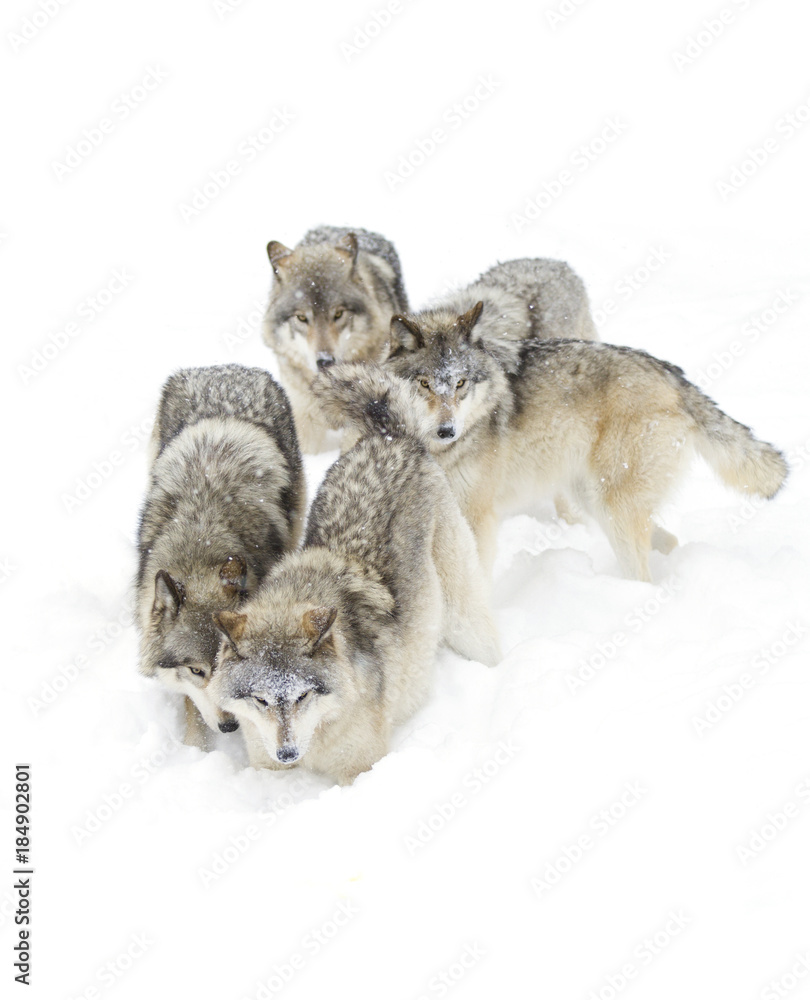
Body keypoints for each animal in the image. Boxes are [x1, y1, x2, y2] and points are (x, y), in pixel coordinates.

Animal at [136, 364, 305, 748]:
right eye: (197, 670)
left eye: (226, 665)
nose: (230, 727)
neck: (200, 547)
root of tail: (225, 369)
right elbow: (192, 708)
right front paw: (196, 748)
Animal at [208, 366, 500, 785]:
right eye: (261, 700)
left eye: (302, 696)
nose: (287, 753)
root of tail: (391, 435)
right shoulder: (265, 765)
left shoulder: (361, 769)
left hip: (466, 622)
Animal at [378, 302, 788, 581]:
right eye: (425, 383)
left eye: (460, 383)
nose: (446, 431)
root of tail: (671, 372)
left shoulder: (477, 517)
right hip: (592, 497)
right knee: (667, 540)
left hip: (611, 504)